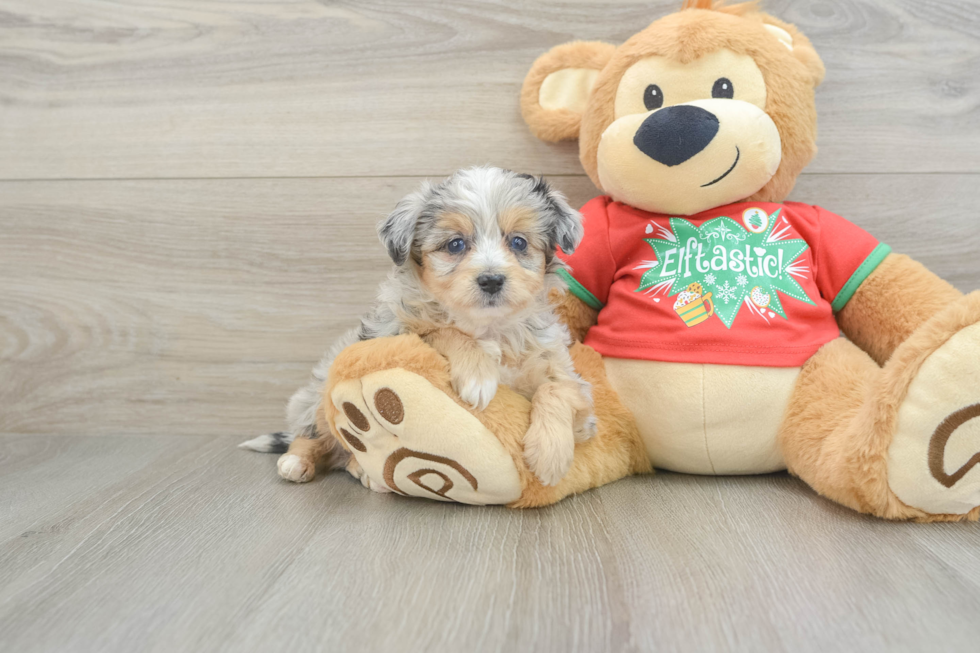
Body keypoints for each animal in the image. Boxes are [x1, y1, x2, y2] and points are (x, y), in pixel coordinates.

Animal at [243, 166, 596, 486]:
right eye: (455, 244)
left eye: (519, 242)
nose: (492, 280)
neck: (487, 326)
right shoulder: (393, 336)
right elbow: (442, 330)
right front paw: (478, 373)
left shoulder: (564, 371)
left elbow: (558, 389)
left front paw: (551, 453)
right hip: (320, 392)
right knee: (318, 434)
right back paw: (298, 461)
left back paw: (359, 470)